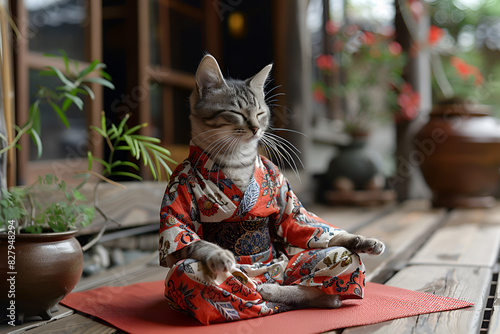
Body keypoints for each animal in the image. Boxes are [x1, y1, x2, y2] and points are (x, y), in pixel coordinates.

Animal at [158, 54, 384, 324]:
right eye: (236, 113)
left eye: (260, 112)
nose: (256, 128)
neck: (237, 161)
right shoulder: (176, 203)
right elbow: (189, 238)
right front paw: (219, 255)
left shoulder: (285, 199)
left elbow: (305, 225)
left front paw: (361, 241)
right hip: (201, 280)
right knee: (195, 274)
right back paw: (269, 293)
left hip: (300, 266)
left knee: (331, 265)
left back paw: (296, 292)